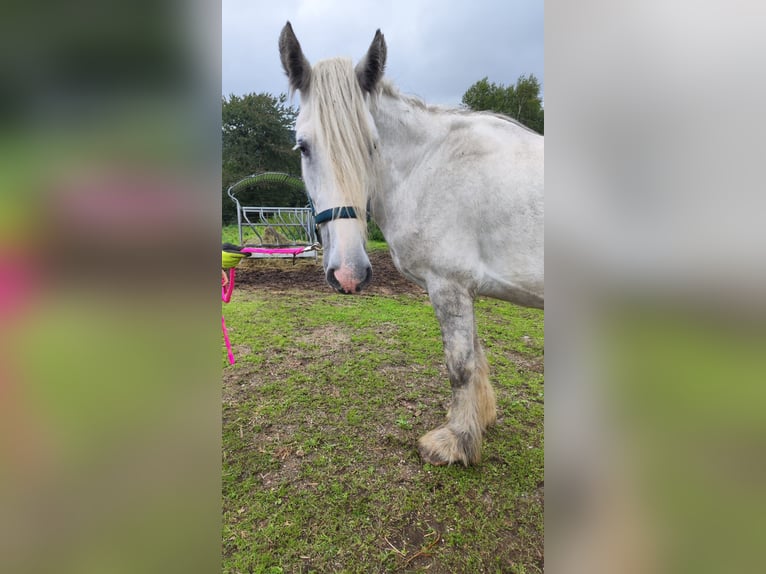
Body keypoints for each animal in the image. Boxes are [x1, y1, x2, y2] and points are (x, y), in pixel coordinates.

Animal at [279, 22, 543, 466]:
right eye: (303, 146)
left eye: (372, 145)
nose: (349, 273)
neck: (430, 166)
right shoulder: (464, 289)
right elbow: (476, 355)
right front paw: (481, 419)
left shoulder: (449, 285)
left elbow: (460, 364)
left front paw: (457, 441)